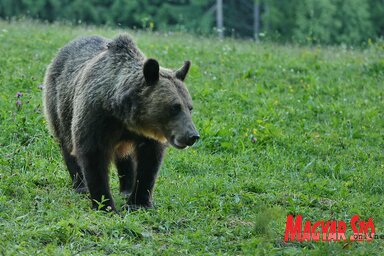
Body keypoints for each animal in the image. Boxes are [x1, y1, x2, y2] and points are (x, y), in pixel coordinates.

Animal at [42, 34, 200, 211]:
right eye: (175, 107)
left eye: (190, 107)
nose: (192, 135)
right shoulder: (96, 117)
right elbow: (93, 156)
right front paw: (105, 204)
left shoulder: (145, 136)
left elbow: (149, 162)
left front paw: (138, 202)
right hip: (60, 104)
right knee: (67, 144)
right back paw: (80, 185)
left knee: (125, 156)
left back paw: (126, 189)